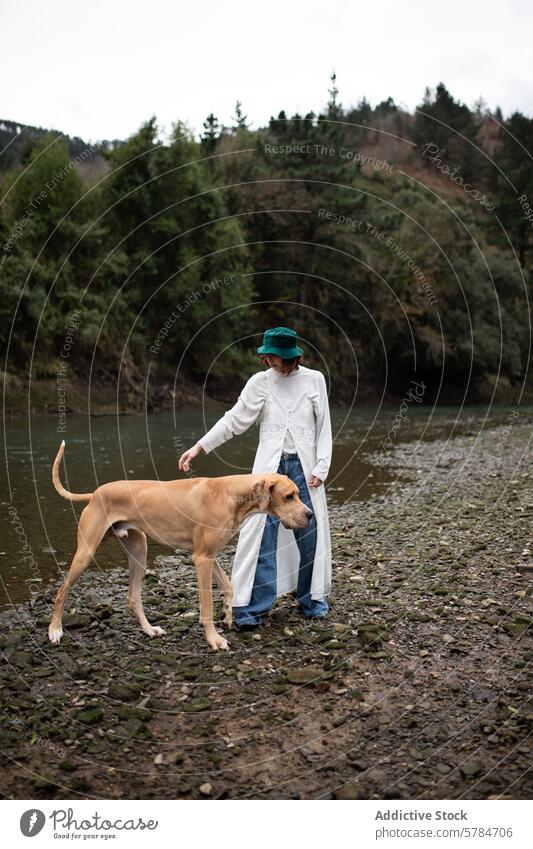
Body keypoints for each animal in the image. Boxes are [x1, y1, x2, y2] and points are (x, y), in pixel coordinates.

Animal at [48, 444, 312, 648]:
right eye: (289, 496)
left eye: (298, 494)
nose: (310, 515)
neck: (231, 494)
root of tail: (95, 493)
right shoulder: (202, 558)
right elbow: (206, 606)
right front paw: (214, 639)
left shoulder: (210, 555)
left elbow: (228, 585)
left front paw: (228, 615)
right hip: (85, 553)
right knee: (61, 591)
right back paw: (54, 630)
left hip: (139, 552)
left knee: (133, 596)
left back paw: (149, 630)